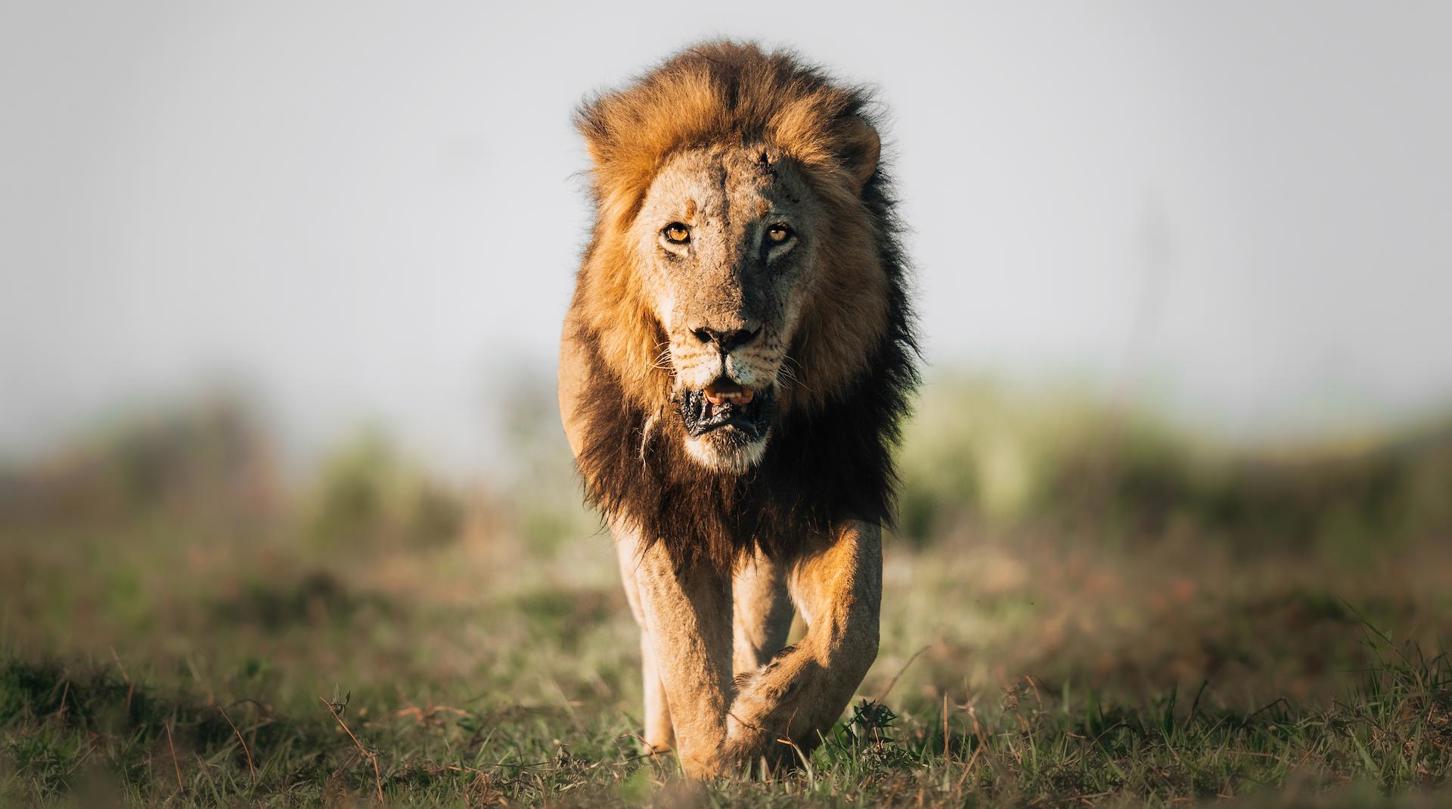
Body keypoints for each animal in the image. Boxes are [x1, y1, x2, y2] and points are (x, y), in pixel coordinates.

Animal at [557, 41, 918, 777]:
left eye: (776, 234)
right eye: (676, 233)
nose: (723, 337)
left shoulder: (831, 482)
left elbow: (852, 626)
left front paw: (760, 723)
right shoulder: (656, 511)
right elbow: (688, 655)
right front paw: (710, 765)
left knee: (757, 624)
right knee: (655, 639)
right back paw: (660, 744)